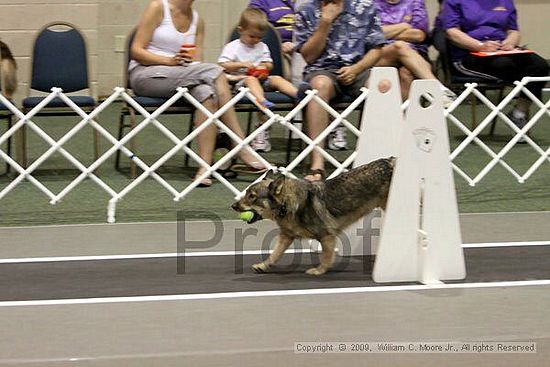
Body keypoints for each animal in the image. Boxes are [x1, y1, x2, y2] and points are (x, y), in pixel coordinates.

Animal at [233, 157, 396, 274]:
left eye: (252, 196)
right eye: (246, 193)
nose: (233, 206)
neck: (287, 203)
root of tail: (390, 160)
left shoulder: (327, 236)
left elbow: (325, 257)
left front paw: (319, 271)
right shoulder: (286, 236)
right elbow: (274, 254)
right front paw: (263, 265)